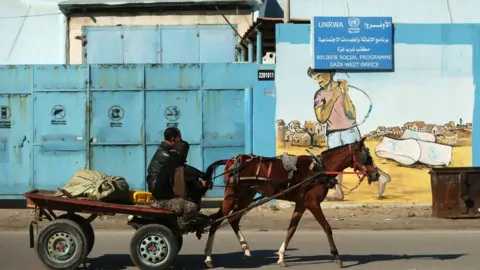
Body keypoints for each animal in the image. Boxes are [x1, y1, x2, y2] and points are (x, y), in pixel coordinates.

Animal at [201, 137, 380, 268]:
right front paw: (336, 256)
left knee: (233, 220)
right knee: (216, 221)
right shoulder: (313, 203)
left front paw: (281, 257)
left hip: (246, 196)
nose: (376, 174)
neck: (319, 169)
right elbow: (327, 227)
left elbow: (291, 230)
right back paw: (209, 257)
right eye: (367, 156)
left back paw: (246, 250)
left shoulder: (301, 204)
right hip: (232, 196)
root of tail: (231, 160)